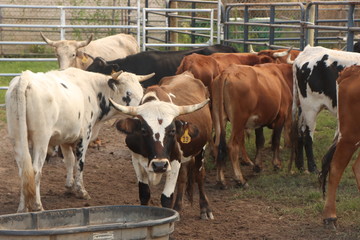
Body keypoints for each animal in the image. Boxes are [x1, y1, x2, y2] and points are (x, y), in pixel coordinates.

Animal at [5, 67, 153, 212]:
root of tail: (26, 77)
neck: (94, 89)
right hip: (41, 140)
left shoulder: (65, 137)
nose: (142, 114)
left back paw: (23, 208)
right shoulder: (85, 135)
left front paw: (69, 186)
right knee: (36, 170)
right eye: (128, 93)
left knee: (24, 171)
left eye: (141, 92)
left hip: (17, 138)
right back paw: (37, 205)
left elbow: (69, 160)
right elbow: (79, 163)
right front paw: (81, 191)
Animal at [110, 71, 214, 219]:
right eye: (143, 130)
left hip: (201, 149)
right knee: (183, 177)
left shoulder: (174, 162)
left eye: (173, 131)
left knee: (199, 175)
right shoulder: (136, 160)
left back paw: (205, 209)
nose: (159, 165)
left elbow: (166, 198)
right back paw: (178, 207)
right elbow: (144, 193)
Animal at [292, 45, 360, 173]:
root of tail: (308, 50)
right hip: (311, 108)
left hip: (304, 107)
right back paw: (312, 167)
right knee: (307, 135)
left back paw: (300, 165)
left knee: (299, 131)